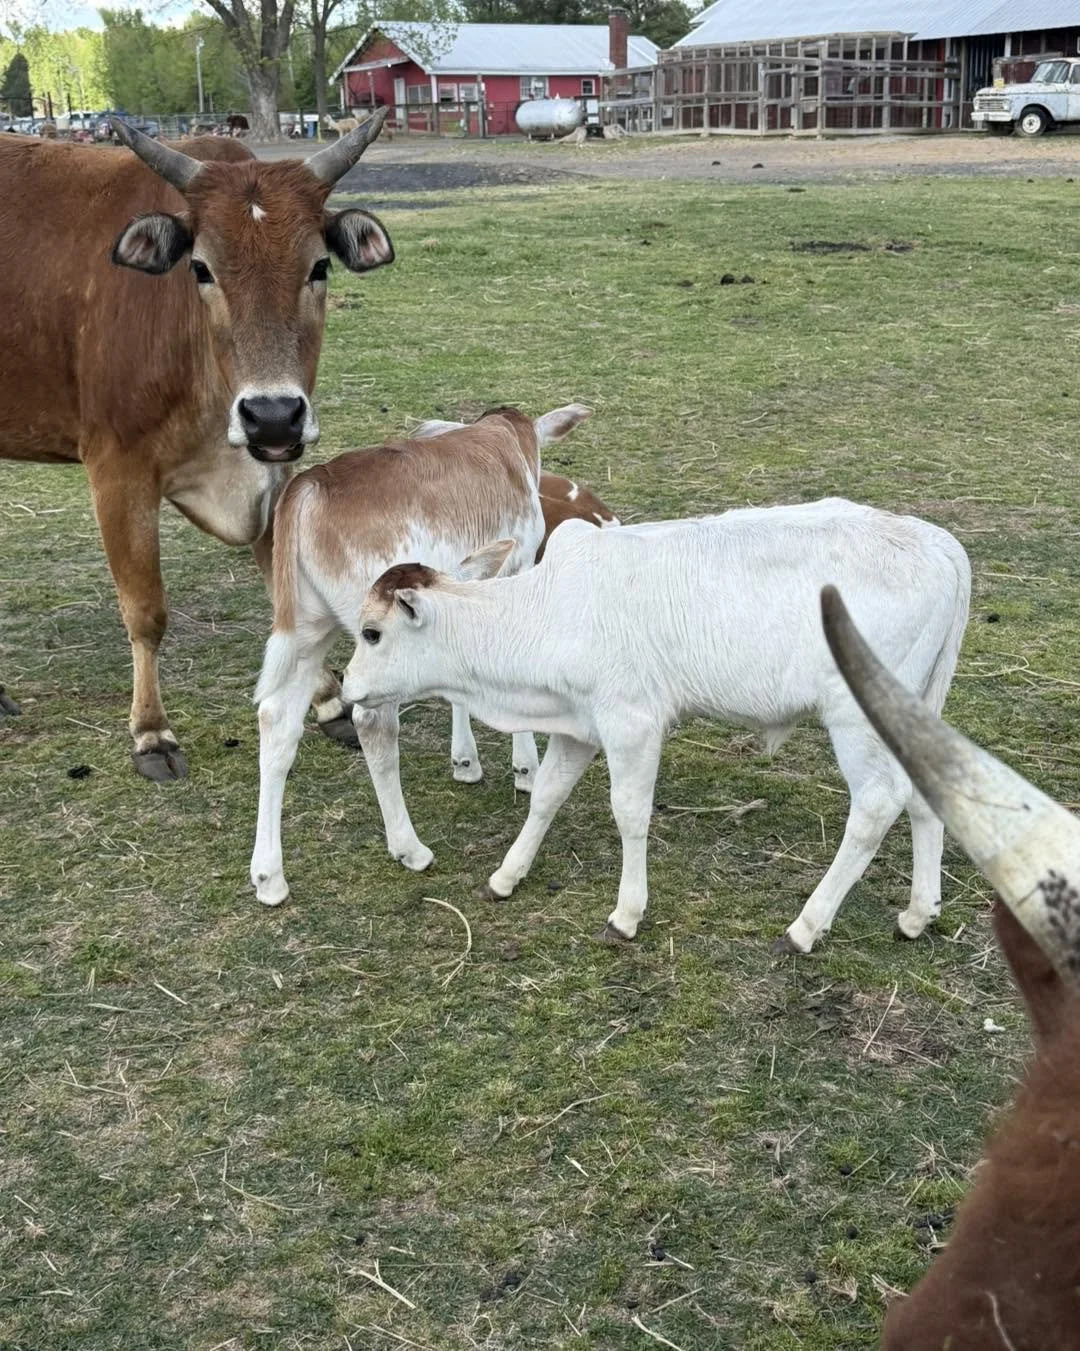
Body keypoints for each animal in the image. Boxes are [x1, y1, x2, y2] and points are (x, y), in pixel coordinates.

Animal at [0, 112, 392, 781]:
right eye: (201, 269)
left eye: (319, 266)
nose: (271, 415)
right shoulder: (117, 470)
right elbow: (145, 611)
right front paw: (151, 732)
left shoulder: (272, 471)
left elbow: (287, 594)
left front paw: (329, 702)